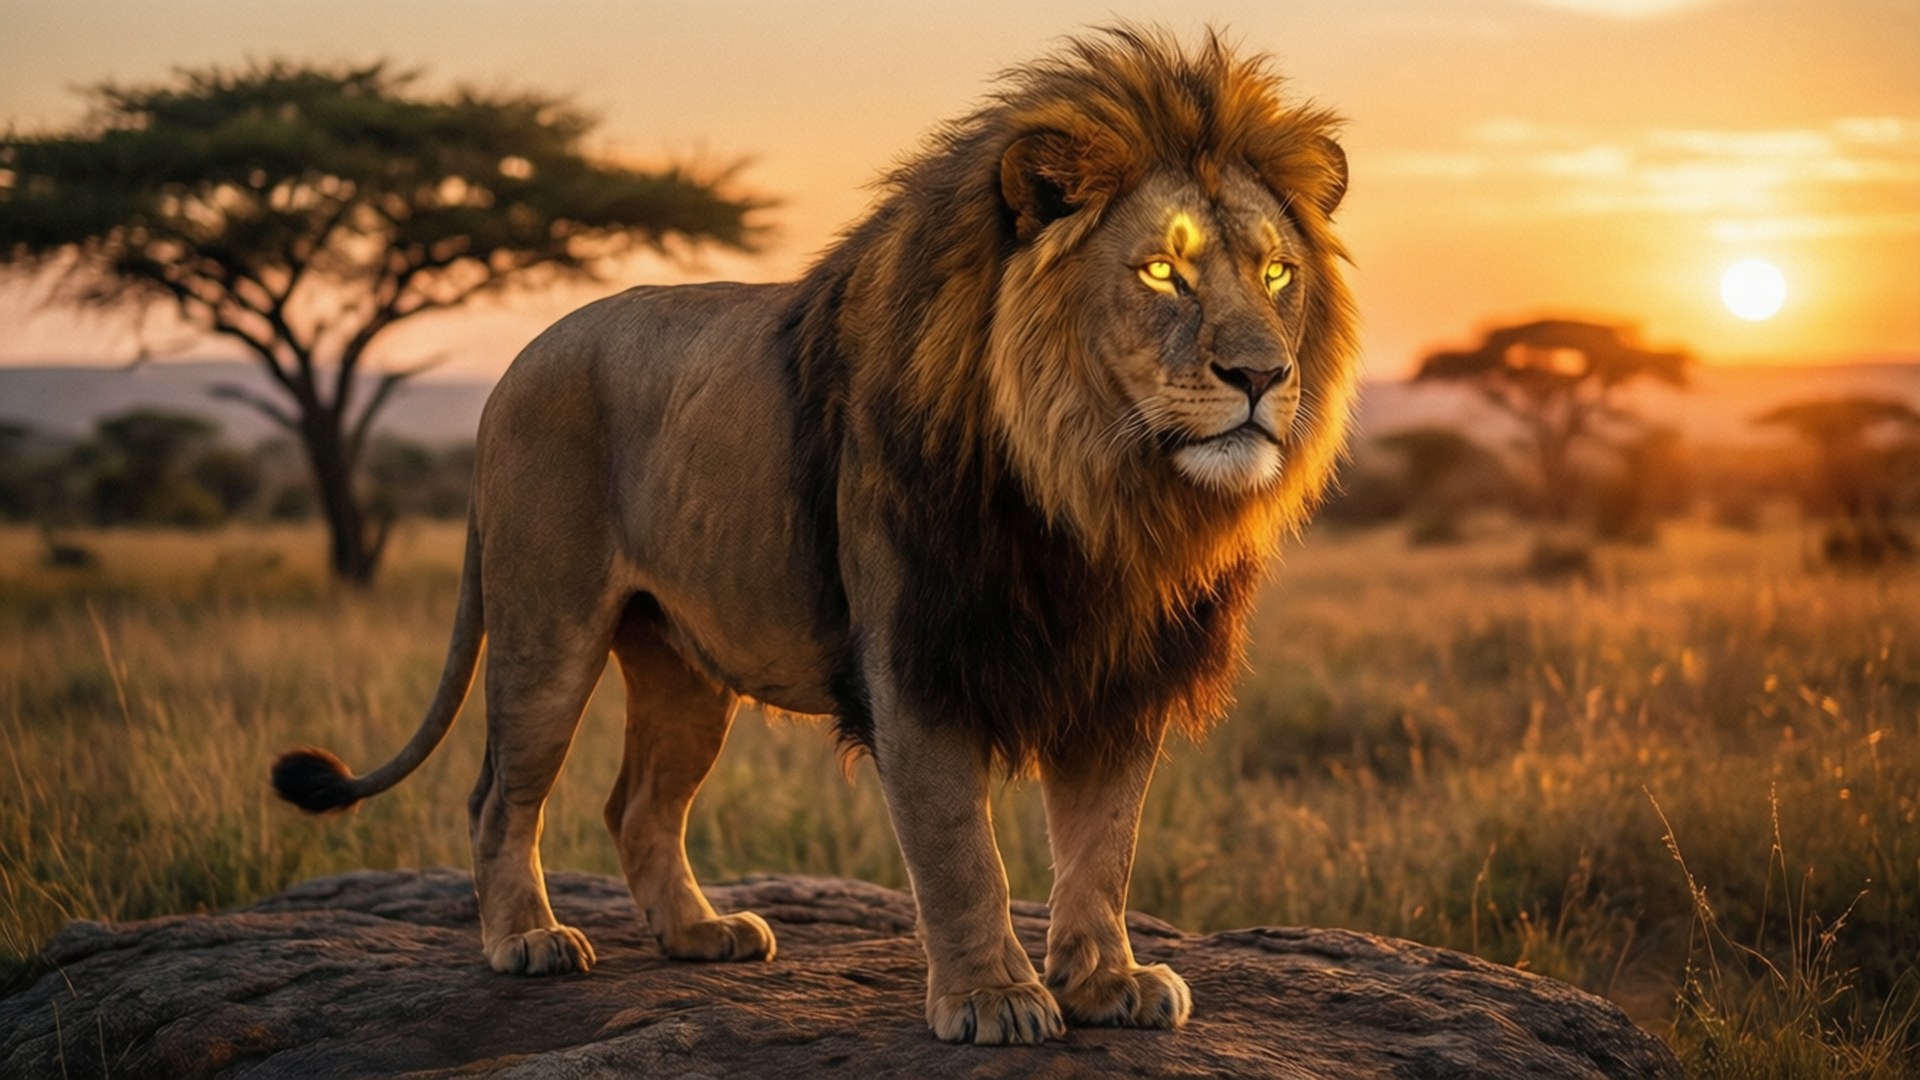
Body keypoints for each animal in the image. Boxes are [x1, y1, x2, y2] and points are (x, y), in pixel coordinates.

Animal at [273, 26, 1358, 1045]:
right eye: (1164, 271)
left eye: (1275, 272)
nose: (1262, 376)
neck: (1095, 494)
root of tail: (514, 367)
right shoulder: (915, 661)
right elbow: (961, 851)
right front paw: (994, 998)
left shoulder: (1119, 671)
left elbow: (1103, 848)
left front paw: (1106, 983)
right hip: (547, 629)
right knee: (499, 794)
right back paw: (527, 940)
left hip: (681, 664)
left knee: (639, 803)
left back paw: (700, 933)